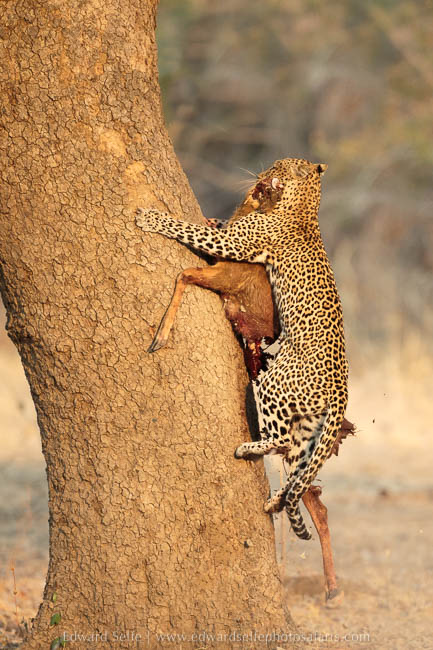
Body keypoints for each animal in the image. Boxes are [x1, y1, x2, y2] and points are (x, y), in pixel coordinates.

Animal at [135, 157, 348, 540]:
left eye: (277, 165)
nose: (261, 174)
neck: (305, 205)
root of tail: (341, 392)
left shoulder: (233, 244)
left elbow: (187, 229)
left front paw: (150, 217)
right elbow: (211, 227)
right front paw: (211, 217)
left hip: (274, 385)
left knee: (279, 439)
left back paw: (246, 448)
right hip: (310, 425)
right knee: (298, 465)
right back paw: (276, 502)